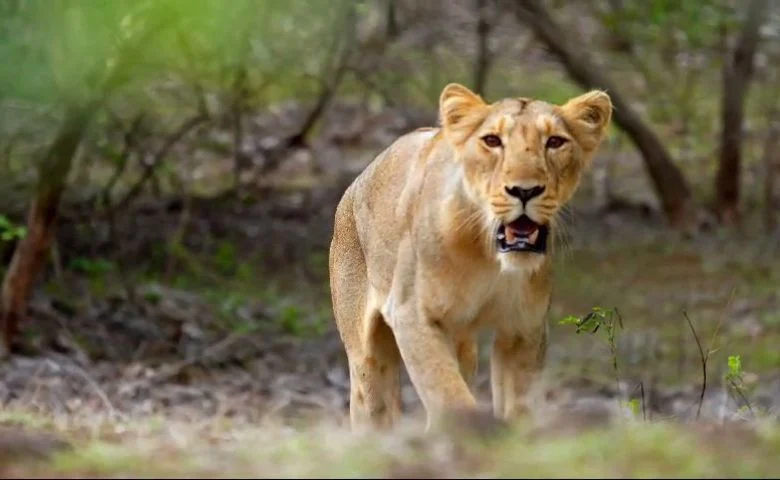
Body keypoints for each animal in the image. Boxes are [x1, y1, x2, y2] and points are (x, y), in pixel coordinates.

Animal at [328, 83, 613, 431]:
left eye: (555, 142)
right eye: (492, 140)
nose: (525, 191)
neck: (486, 254)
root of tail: (354, 184)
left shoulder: (523, 328)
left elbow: (518, 405)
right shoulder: (411, 314)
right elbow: (450, 396)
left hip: (463, 344)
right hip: (368, 357)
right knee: (374, 403)